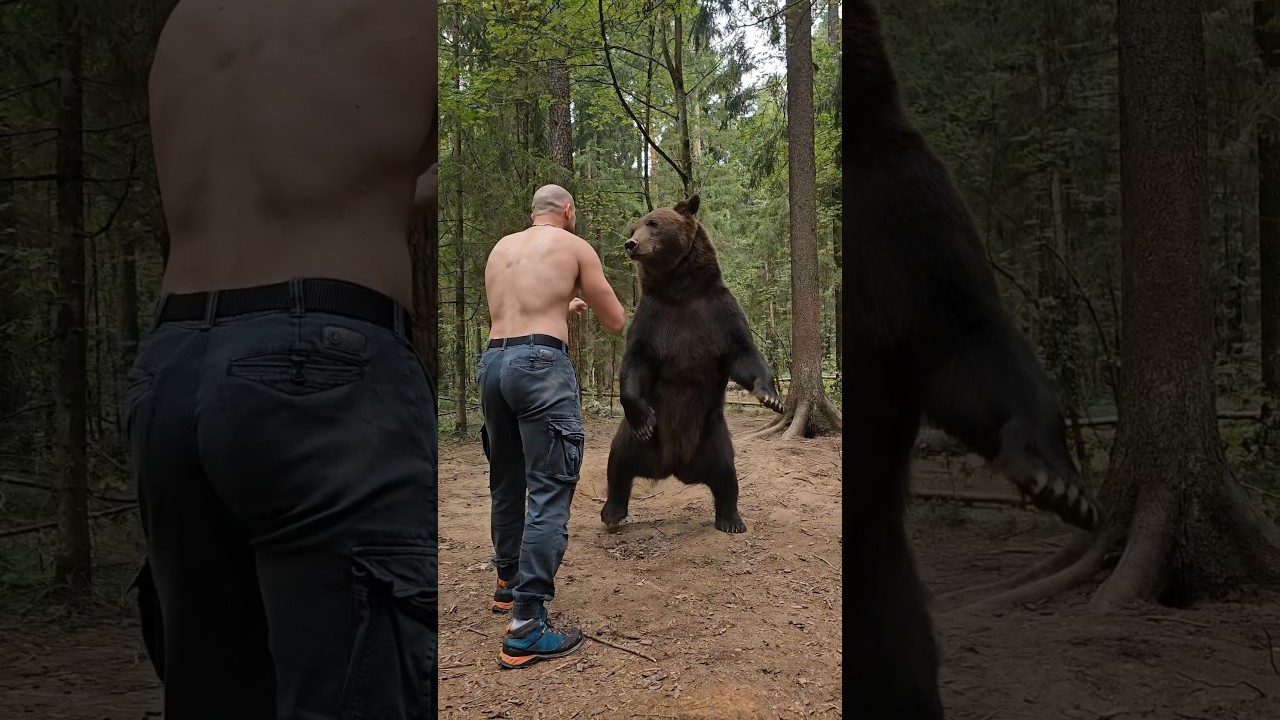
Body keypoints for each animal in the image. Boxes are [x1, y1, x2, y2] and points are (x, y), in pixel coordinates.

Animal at [600, 195, 784, 534]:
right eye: (634, 227)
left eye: (653, 223)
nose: (630, 244)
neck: (680, 291)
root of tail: (674, 465)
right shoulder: (652, 318)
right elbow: (636, 361)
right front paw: (643, 418)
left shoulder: (719, 313)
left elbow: (743, 355)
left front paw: (771, 396)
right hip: (639, 439)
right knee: (619, 461)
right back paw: (613, 512)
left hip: (713, 436)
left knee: (726, 475)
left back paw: (731, 519)